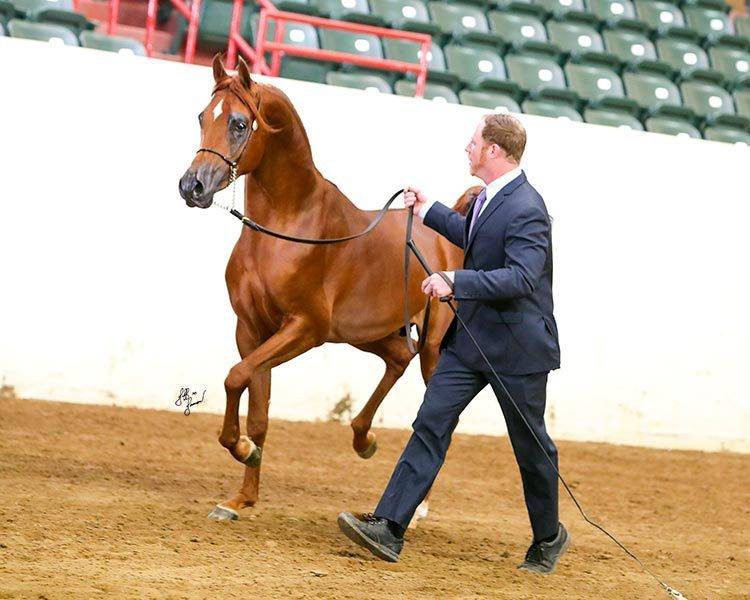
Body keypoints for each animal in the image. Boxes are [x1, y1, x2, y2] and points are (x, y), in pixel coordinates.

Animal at [178, 54, 479, 522]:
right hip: (367, 333)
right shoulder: (252, 328)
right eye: (201, 117)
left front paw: (241, 448)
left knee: (437, 412)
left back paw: (419, 506)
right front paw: (242, 496)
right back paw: (363, 439)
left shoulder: (305, 329)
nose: (192, 186)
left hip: (433, 345)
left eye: (240, 124)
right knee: (398, 358)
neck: (286, 227)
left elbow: (234, 377)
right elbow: (255, 406)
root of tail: (454, 232)